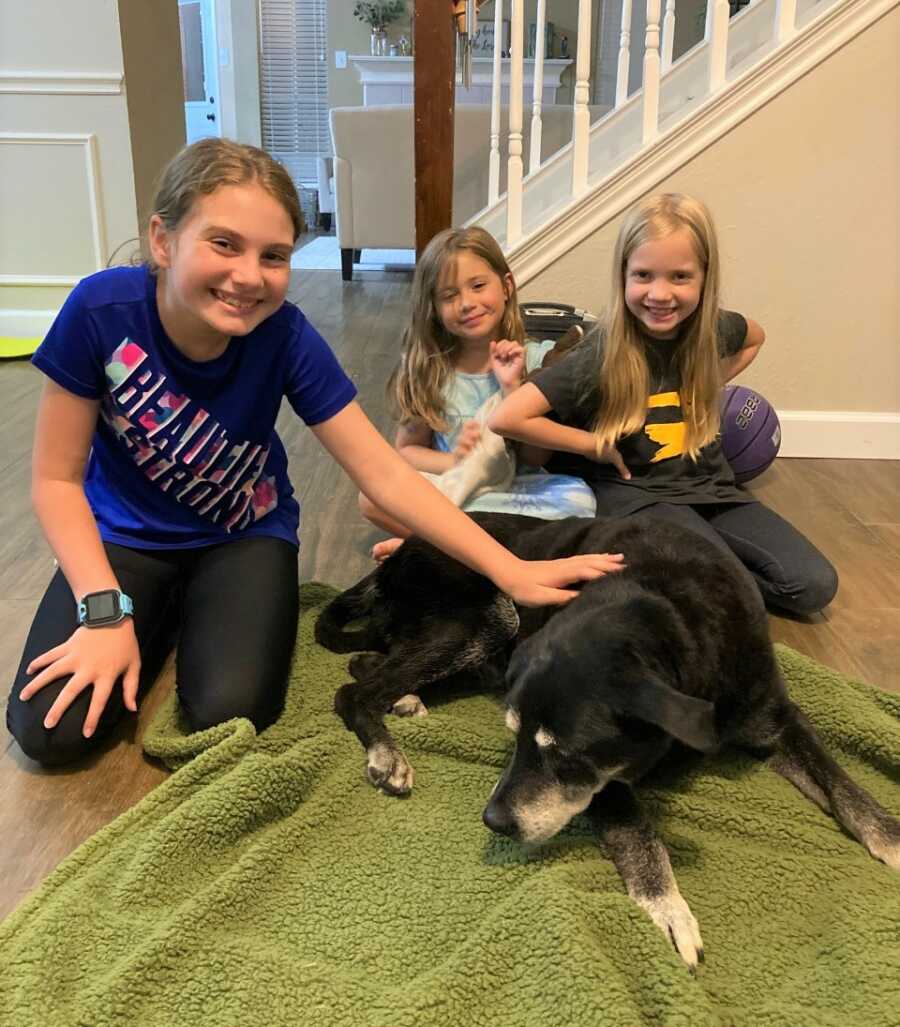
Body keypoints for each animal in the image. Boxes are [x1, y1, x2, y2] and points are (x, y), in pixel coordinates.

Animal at [318, 517, 900, 965]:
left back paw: (407, 700)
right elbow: (639, 834)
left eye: (564, 755)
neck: (672, 611)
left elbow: (841, 781)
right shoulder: (608, 781)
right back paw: (386, 752)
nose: (493, 822)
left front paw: (889, 837)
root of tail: (395, 555)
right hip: (486, 618)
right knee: (353, 688)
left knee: (366, 663)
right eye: (515, 740)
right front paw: (668, 909)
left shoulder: (774, 719)